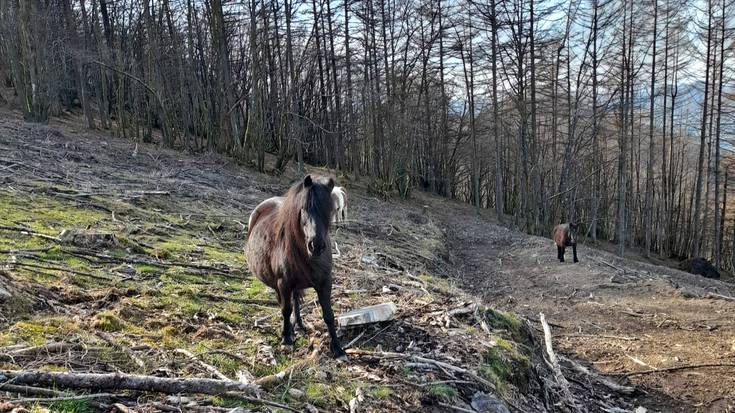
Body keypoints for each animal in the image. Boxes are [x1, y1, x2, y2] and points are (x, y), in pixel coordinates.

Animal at [244, 174, 348, 358]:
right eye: (304, 209)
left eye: (328, 210)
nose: (316, 246)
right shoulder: (283, 283)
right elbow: (286, 309)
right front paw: (286, 339)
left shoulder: (325, 283)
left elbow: (328, 314)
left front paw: (337, 347)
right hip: (278, 284)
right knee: (285, 303)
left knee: (295, 300)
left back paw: (298, 324)